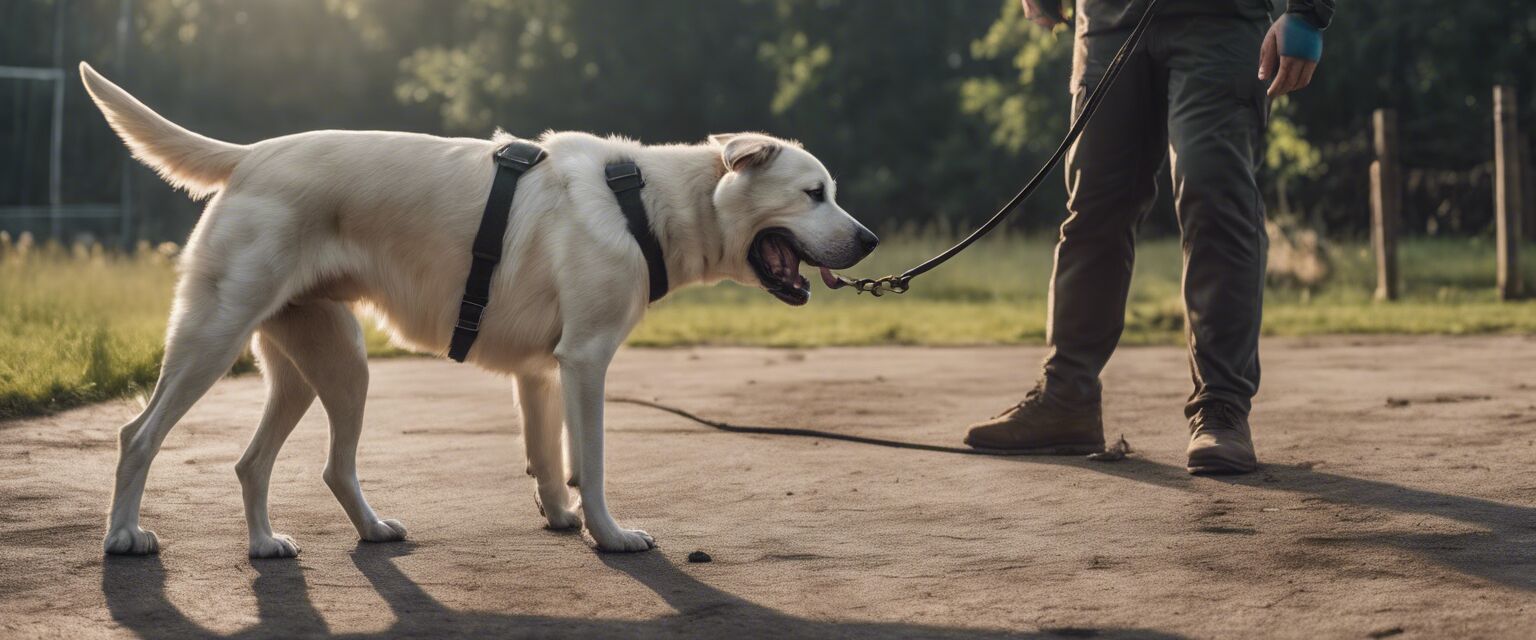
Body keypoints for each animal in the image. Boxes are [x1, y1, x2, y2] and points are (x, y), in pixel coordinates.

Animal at [81, 62, 878, 555]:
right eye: (815, 193)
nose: (870, 241)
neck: (647, 204)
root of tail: (250, 154)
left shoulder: (542, 373)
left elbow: (550, 460)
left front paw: (560, 519)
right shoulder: (585, 362)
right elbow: (593, 461)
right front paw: (610, 535)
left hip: (326, 364)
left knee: (278, 464)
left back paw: (294, 540)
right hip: (214, 338)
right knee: (137, 435)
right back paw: (123, 537)